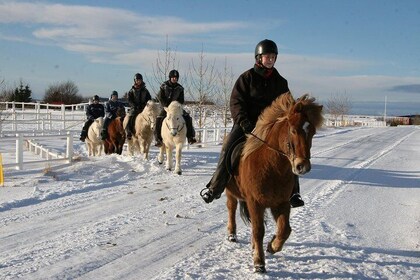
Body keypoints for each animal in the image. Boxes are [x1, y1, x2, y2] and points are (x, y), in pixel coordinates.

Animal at [225, 93, 324, 272]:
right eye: (293, 130)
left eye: (312, 132)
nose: (303, 166)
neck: (271, 167)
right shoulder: (255, 202)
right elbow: (258, 230)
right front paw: (259, 262)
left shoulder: (281, 202)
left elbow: (285, 229)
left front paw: (272, 246)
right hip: (231, 193)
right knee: (231, 209)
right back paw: (232, 234)